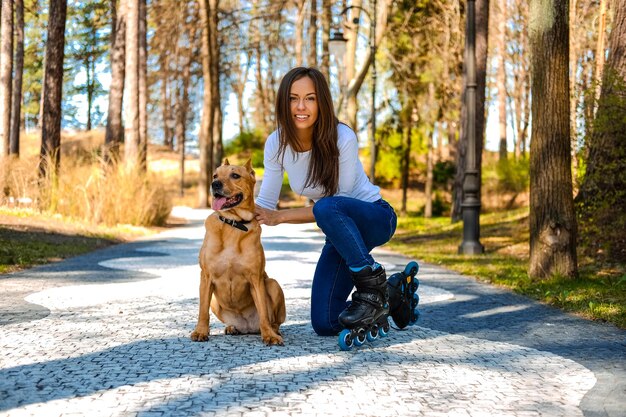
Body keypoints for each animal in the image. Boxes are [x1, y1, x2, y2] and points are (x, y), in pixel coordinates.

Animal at [190, 159, 286, 344]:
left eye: (235, 175)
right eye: (215, 175)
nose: (214, 184)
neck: (233, 224)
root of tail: (247, 326)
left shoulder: (256, 279)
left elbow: (263, 312)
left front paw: (269, 335)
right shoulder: (206, 277)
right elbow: (202, 311)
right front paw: (200, 331)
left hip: (273, 284)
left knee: (273, 320)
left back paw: (273, 330)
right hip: (214, 300)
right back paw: (232, 327)